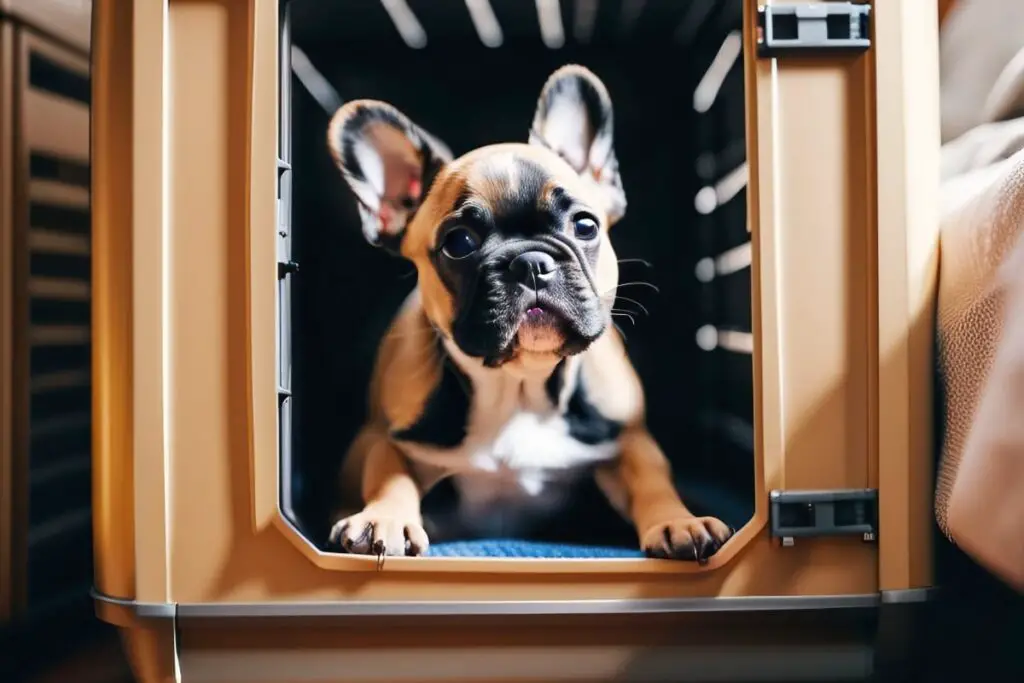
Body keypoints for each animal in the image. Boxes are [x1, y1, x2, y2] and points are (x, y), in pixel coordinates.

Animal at [323, 66, 733, 565]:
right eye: (458, 242)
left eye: (585, 225)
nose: (530, 262)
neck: (518, 386)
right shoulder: (385, 436)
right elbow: (388, 473)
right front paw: (384, 516)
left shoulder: (630, 439)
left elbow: (652, 480)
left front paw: (679, 521)